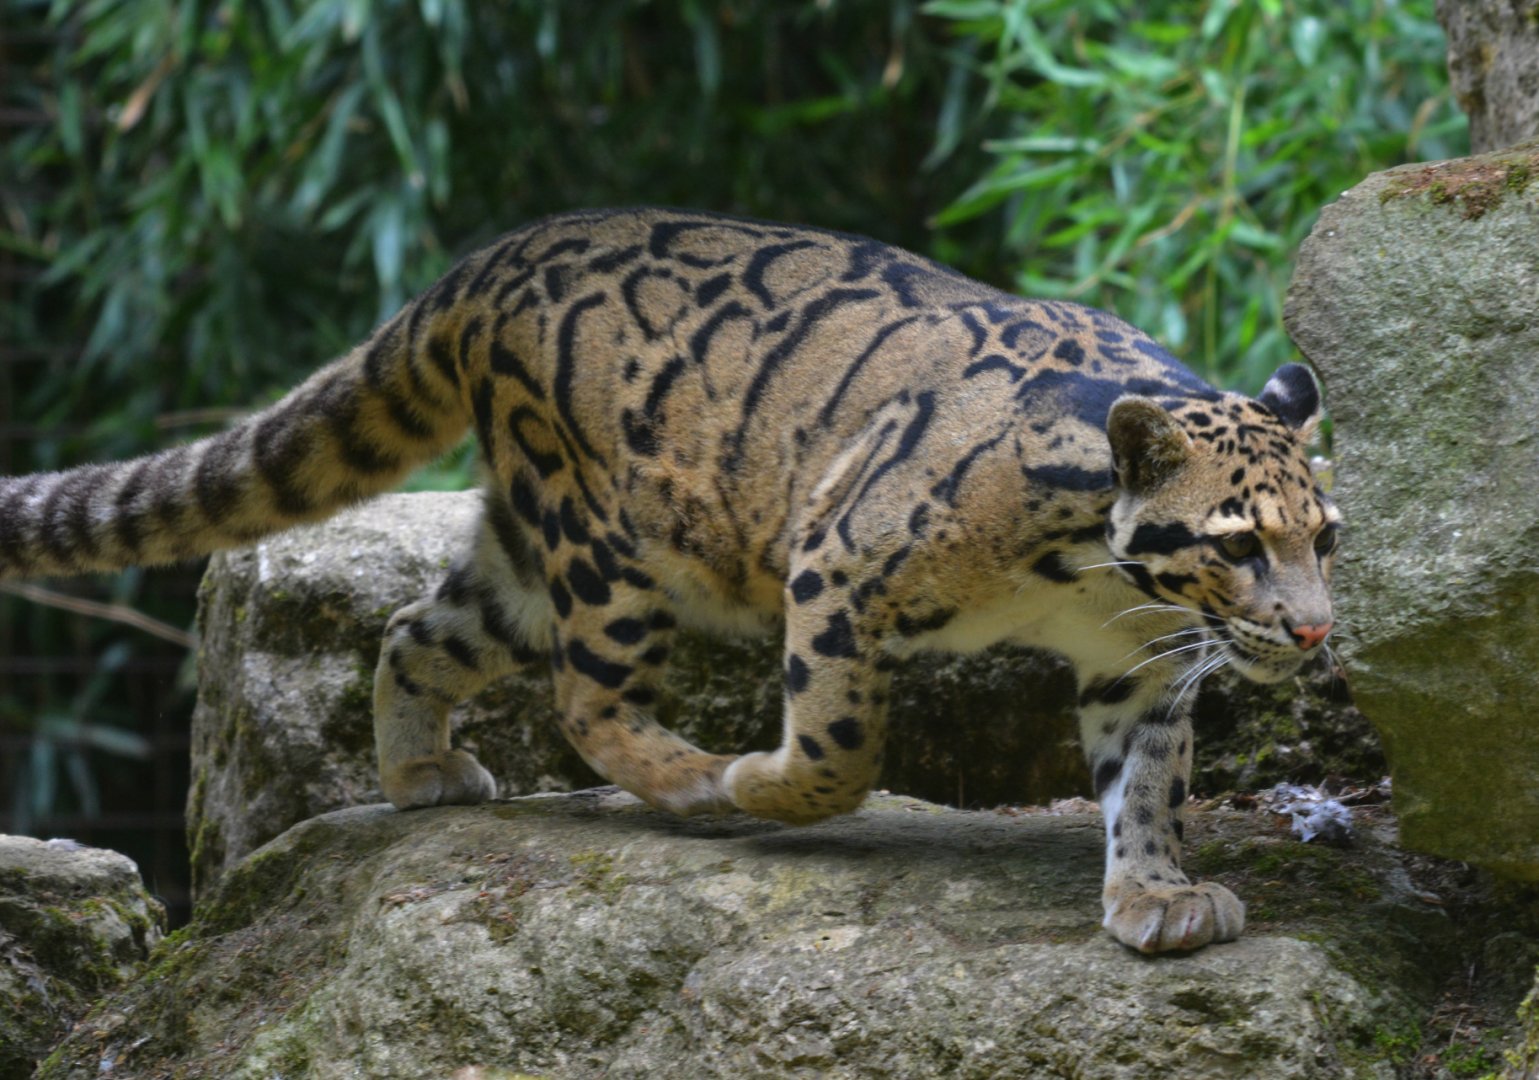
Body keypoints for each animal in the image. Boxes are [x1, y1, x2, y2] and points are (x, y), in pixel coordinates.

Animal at [0, 207, 1339, 953]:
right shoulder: (837, 562)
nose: (1317, 636)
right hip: (611, 544)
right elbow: (840, 743)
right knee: (581, 698)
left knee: (415, 630)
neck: (1105, 580)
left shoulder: (1138, 665)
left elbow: (1146, 785)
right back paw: (691, 778)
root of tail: (488, 261)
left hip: (523, 560)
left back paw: (421, 772)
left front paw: (1157, 896)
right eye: (1237, 544)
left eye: (1326, 536)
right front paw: (761, 785)